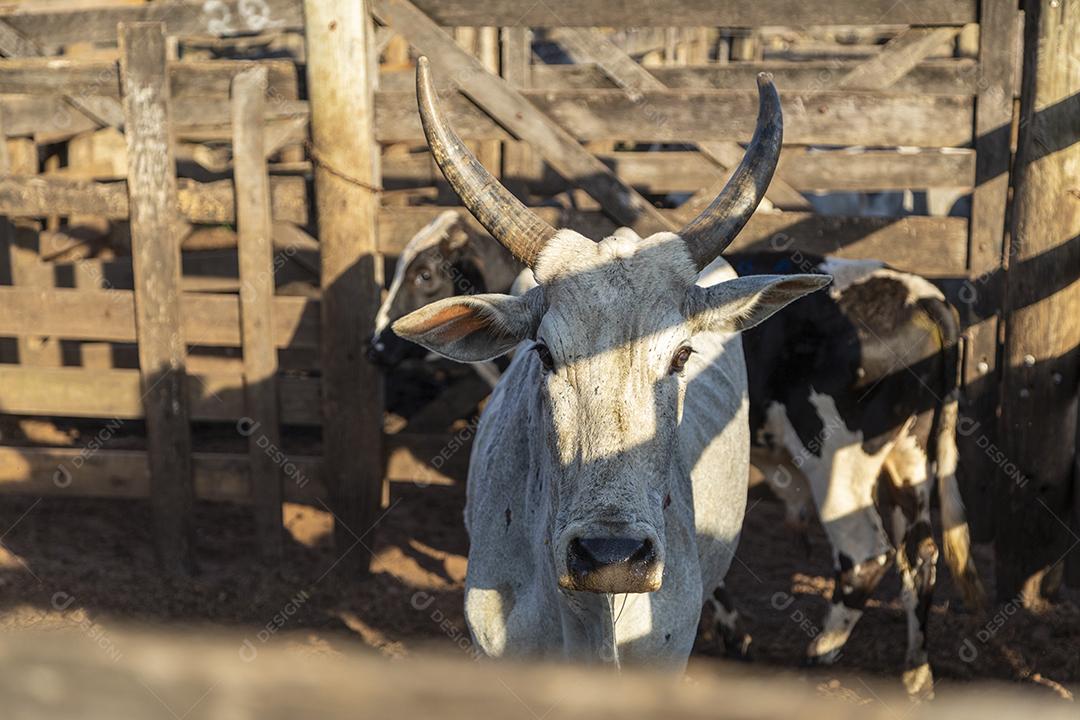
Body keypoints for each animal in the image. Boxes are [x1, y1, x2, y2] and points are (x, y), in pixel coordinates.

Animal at [710, 252, 984, 699]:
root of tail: (922, 294)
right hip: (911, 458)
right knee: (920, 554)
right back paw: (916, 671)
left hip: (834, 462)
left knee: (866, 555)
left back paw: (819, 651)